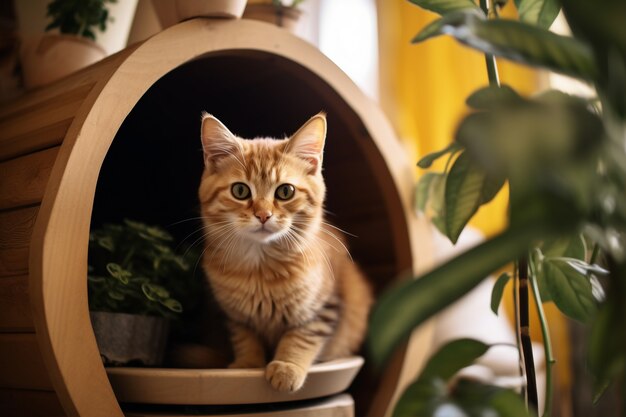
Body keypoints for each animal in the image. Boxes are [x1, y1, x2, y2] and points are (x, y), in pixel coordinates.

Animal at [197, 110, 370, 390]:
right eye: (240, 190)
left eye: (285, 191)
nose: (263, 215)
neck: (261, 267)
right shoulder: (235, 316)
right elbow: (245, 338)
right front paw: (247, 365)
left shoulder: (325, 308)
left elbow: (302, 337)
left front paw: (287, 367)